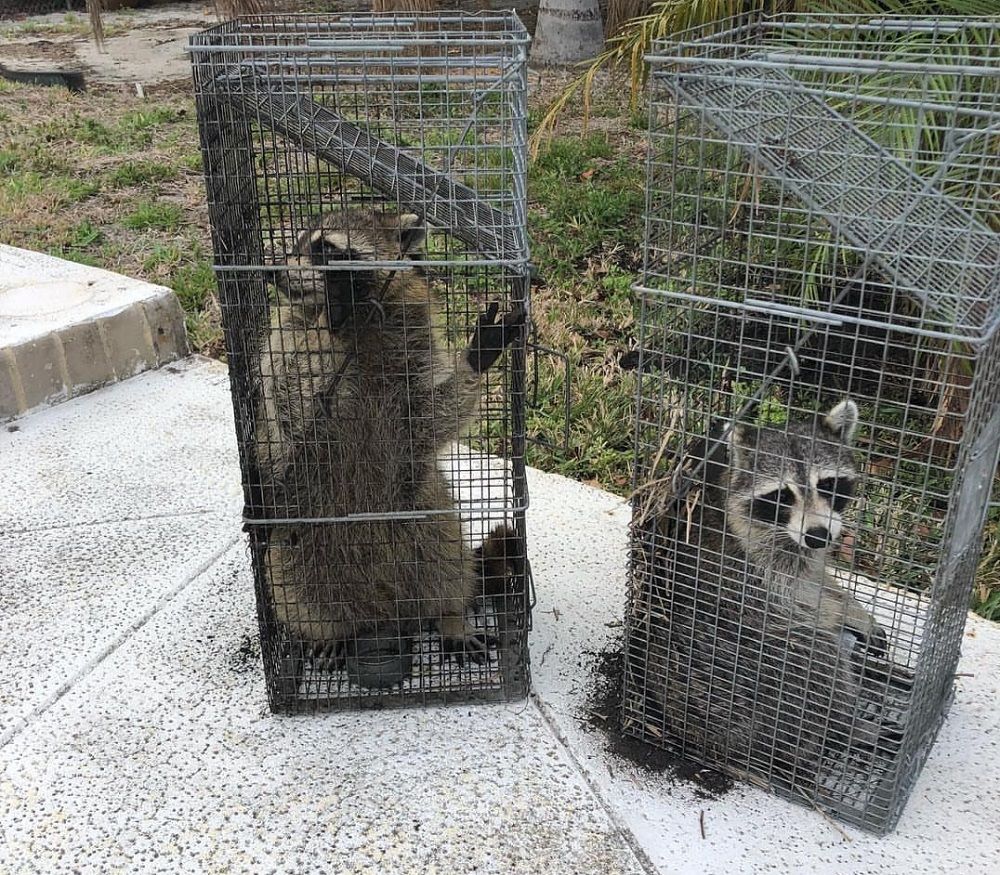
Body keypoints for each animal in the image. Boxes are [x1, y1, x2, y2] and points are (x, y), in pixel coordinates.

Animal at [253, 208, 523, 673]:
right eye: (297, 244)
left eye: (326, 249)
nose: (275, 272)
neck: (358, 322)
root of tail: (385, 610)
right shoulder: (284, 339)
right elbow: (292, 401)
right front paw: (327, 328)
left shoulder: (413, 350)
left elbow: (427, 417)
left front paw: (472, 363)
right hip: (301, 533)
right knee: (294, 583)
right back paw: (333, 632)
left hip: (424, 511)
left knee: (447, 560)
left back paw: (449, 616)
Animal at [637, 400, 898, 787]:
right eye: (781, 495)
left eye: (828, 484)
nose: (818, 535)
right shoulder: (758, 557)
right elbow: (799, 601)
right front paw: (837, 614)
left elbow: (820, 578)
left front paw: (854, 610)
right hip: (747, 678)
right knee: (817, 655)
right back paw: (846, 726)